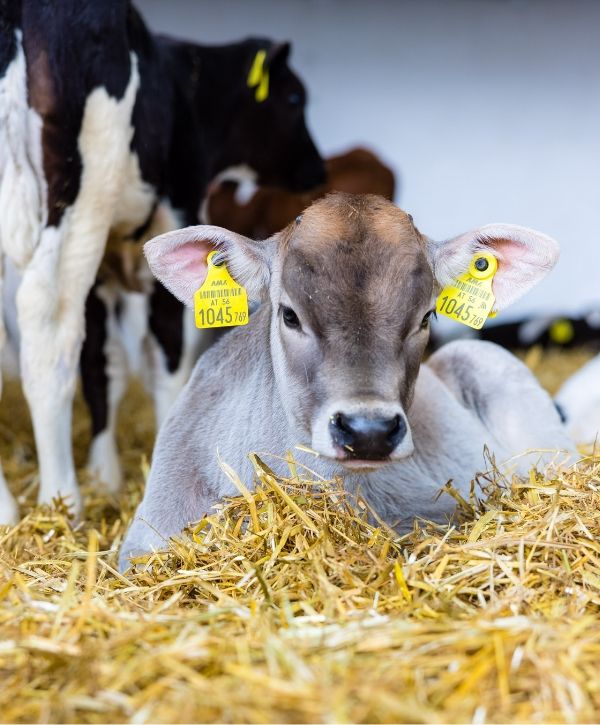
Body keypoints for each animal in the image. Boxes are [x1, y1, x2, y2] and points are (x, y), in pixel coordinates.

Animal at [0, 0, 324, 520]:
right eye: (295, 99)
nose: (319, 169)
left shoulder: (105, 270)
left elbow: (104, 365)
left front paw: (106, 474)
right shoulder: (172, 222)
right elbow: (167, 354)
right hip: (77, 202)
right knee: (47, 323)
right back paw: (61, 500)